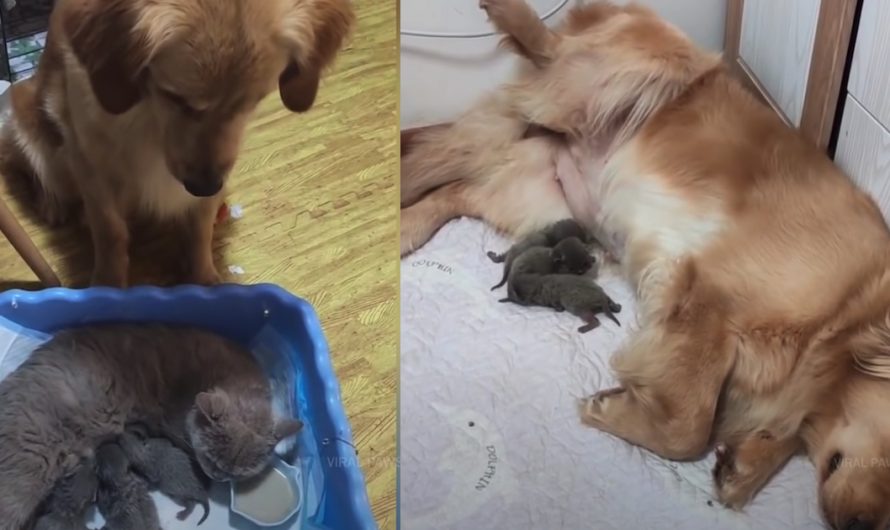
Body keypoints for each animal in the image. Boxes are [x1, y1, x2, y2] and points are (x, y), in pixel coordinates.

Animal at [0, 0, 354, 284]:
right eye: (175, 97)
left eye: (254, 101)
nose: (205, 186)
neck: (150, 117)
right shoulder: (92, 165)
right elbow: (111, 234)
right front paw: (107, 287)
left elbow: (200, 230)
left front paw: (205, 280)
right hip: (23, 117)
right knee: (31, 169)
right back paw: (52, 203)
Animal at [400, 2, 888, 524]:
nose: (857, 525)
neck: (848, 317)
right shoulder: (706, 297)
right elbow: (689, 429)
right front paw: (613, 409)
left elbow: (776, 437)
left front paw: (745, 463)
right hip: (638, 65)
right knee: (550, 50)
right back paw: (513, 15)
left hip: (538, 196)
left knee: (454, 192)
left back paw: (408, 226)